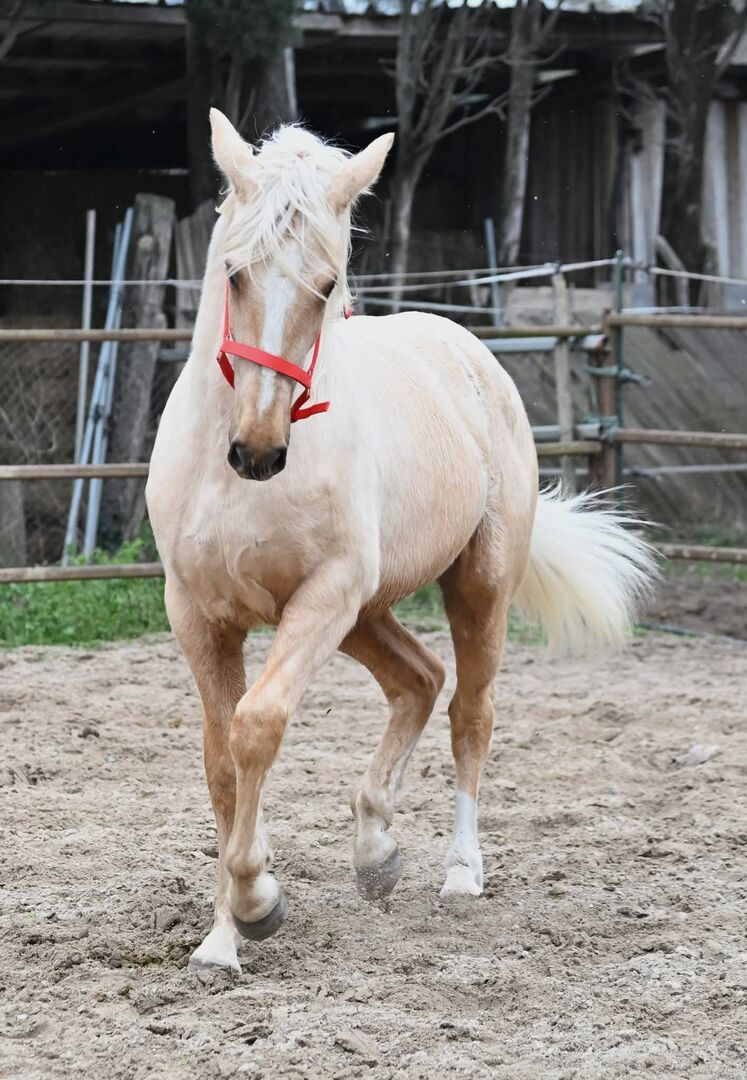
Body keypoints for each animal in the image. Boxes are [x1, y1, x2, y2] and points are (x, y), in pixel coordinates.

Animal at [146, 109, 655, 973]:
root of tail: (469, 350)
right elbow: (219, 763)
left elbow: (257, 726)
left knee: (468, 710)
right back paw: (374, 853)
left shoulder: (320, 596)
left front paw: (257, 902)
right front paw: (220, 941)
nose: (258, 450)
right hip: (366, 612)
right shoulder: (199, 614)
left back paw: (458, 872)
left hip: (468, 588)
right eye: (237, 275)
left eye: (326, 287)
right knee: (418, 679)